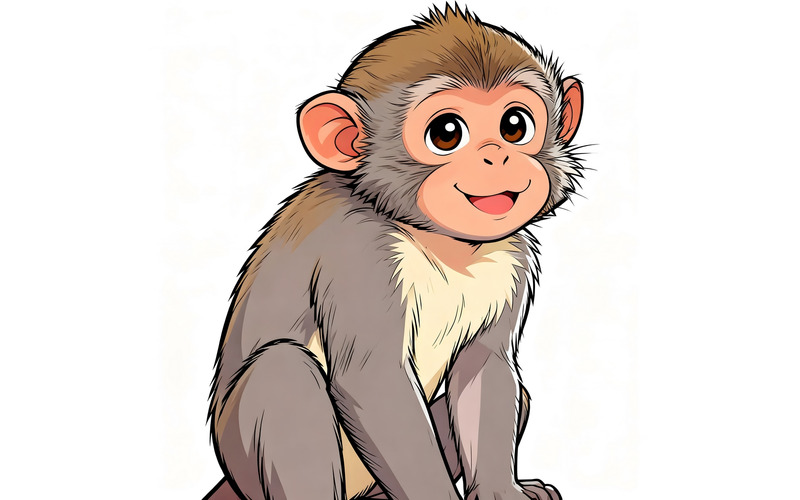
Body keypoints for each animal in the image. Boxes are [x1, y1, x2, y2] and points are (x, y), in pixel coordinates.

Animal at [204, 5, 585, 500]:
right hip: (246, 462)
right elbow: (375, 380)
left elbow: (485, 370)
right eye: (447, 133)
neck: (440, 243)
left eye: (515, 126)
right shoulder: (359, 254)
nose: (497, 157)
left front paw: (503, 492)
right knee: (280, 370)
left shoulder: (512, 258)